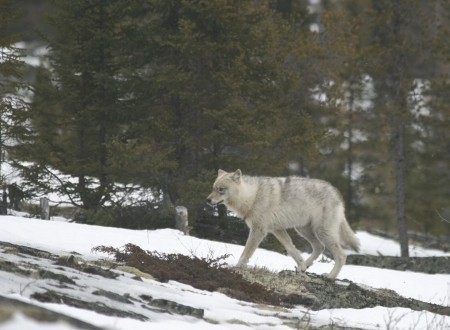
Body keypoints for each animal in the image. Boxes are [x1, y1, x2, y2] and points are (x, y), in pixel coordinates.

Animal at [206, 170, 360, 278]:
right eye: (213, 188)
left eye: (221, 189)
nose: (207, 200)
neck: (252, 197)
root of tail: (336, 192)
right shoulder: (277, 229)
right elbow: (292, 250)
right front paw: (301, 265)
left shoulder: (259, 230)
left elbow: (245, 253)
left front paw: (236, 268)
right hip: (303, 230)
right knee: (319, 248)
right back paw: (304, 267)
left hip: (321, 232)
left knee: (341, 255)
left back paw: (330, 276)